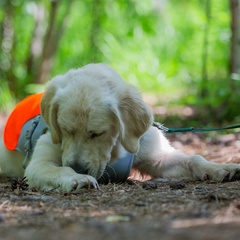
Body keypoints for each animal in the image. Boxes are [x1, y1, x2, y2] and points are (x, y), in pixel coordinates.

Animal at [0, 63, 239, 191]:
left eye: (97, 134)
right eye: (65, 130)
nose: (79, 168)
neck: (115, 150)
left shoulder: (157, 156)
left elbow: (194, 159)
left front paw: (220, 168)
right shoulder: (38, 164)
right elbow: (59, 168)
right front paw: (76, 177)